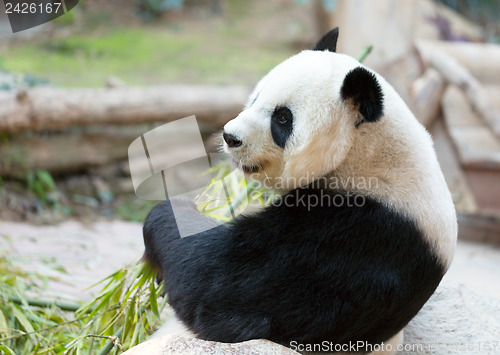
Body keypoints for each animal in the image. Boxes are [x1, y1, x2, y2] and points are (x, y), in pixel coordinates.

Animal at [144, 29, 458, 354]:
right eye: (256, 97)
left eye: (283, 118)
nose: (231, 137)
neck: (369, 155)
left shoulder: (356, 241)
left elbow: (215, 285)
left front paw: (175, 209)